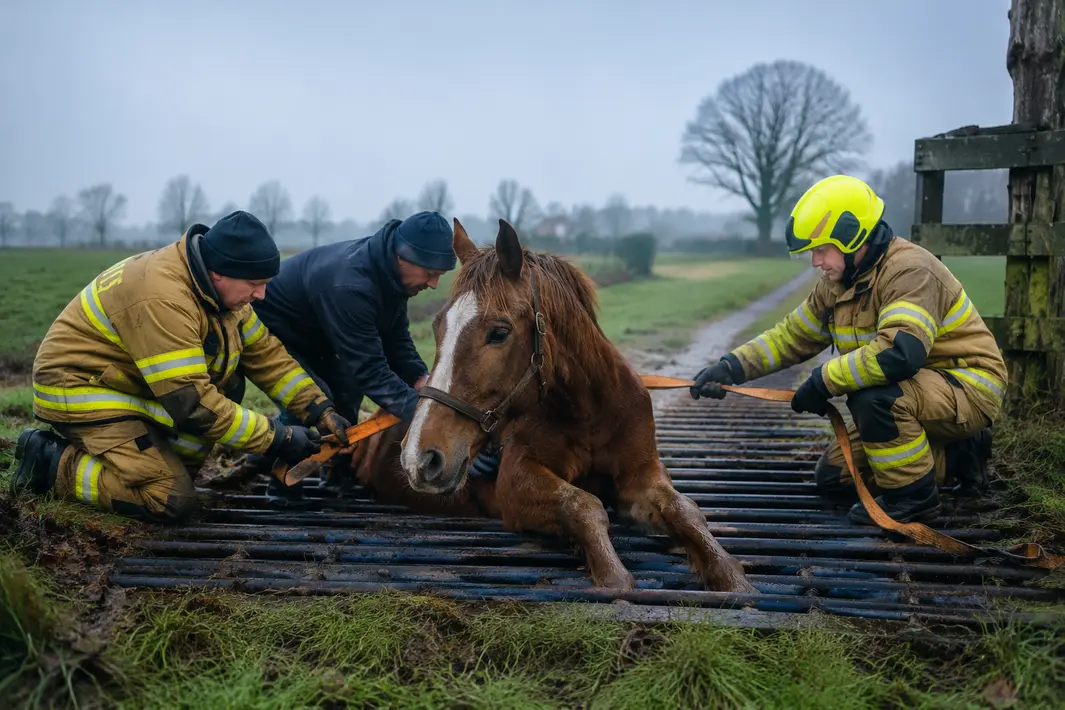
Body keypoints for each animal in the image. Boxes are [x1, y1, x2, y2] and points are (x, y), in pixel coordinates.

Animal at [345, 217, 754, 595]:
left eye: (499, 332)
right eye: (436, 327)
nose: (420, 457)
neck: (589, 412)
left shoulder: (641, 473)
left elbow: (685, 510)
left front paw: (729, 575)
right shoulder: (515, 485)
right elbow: (583, 505)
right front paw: (613, 576)